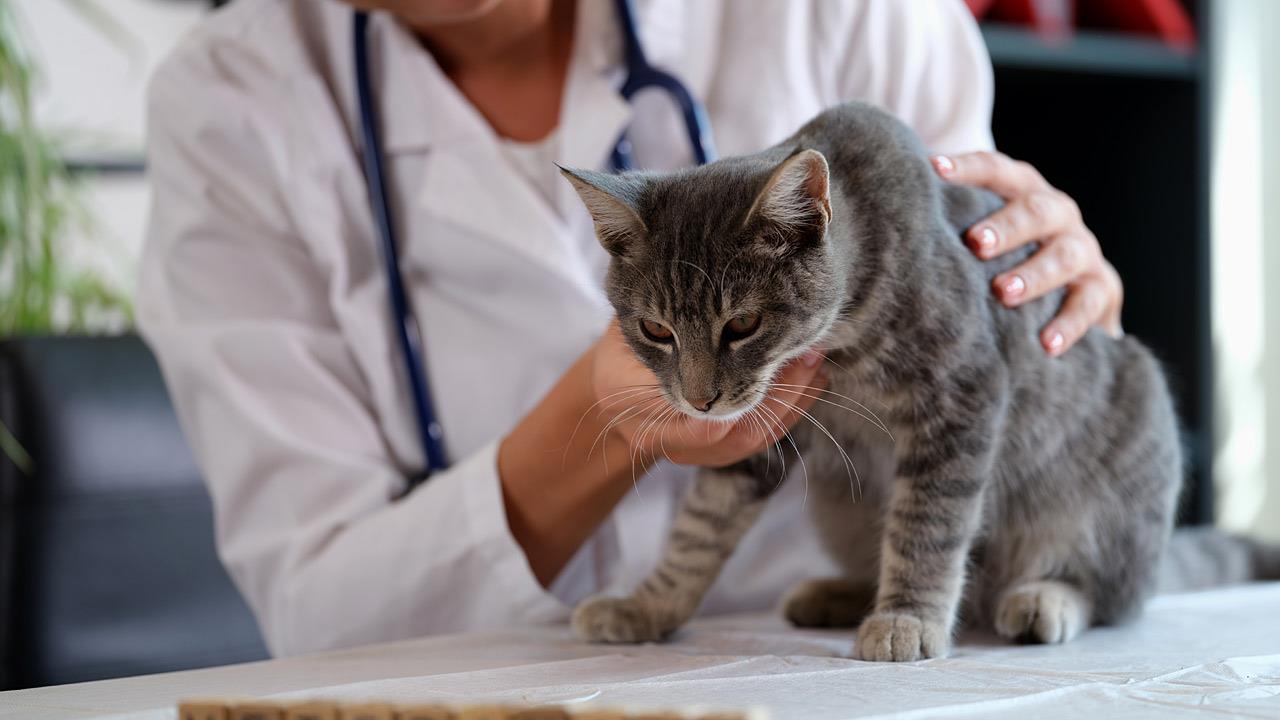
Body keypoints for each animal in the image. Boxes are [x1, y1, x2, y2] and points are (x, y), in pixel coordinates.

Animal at [565, 101, 1264, 661]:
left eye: (742, 323)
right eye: (655, 330)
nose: (699, 398)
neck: (841, 342)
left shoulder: (962, 395)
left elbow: (928, 524)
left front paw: (908, 619)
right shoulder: (763, 432)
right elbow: (700, 529)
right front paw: (648, 606)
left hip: (1119, 483)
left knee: (1113, 592)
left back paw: (1044, 598)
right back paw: (838, 593)